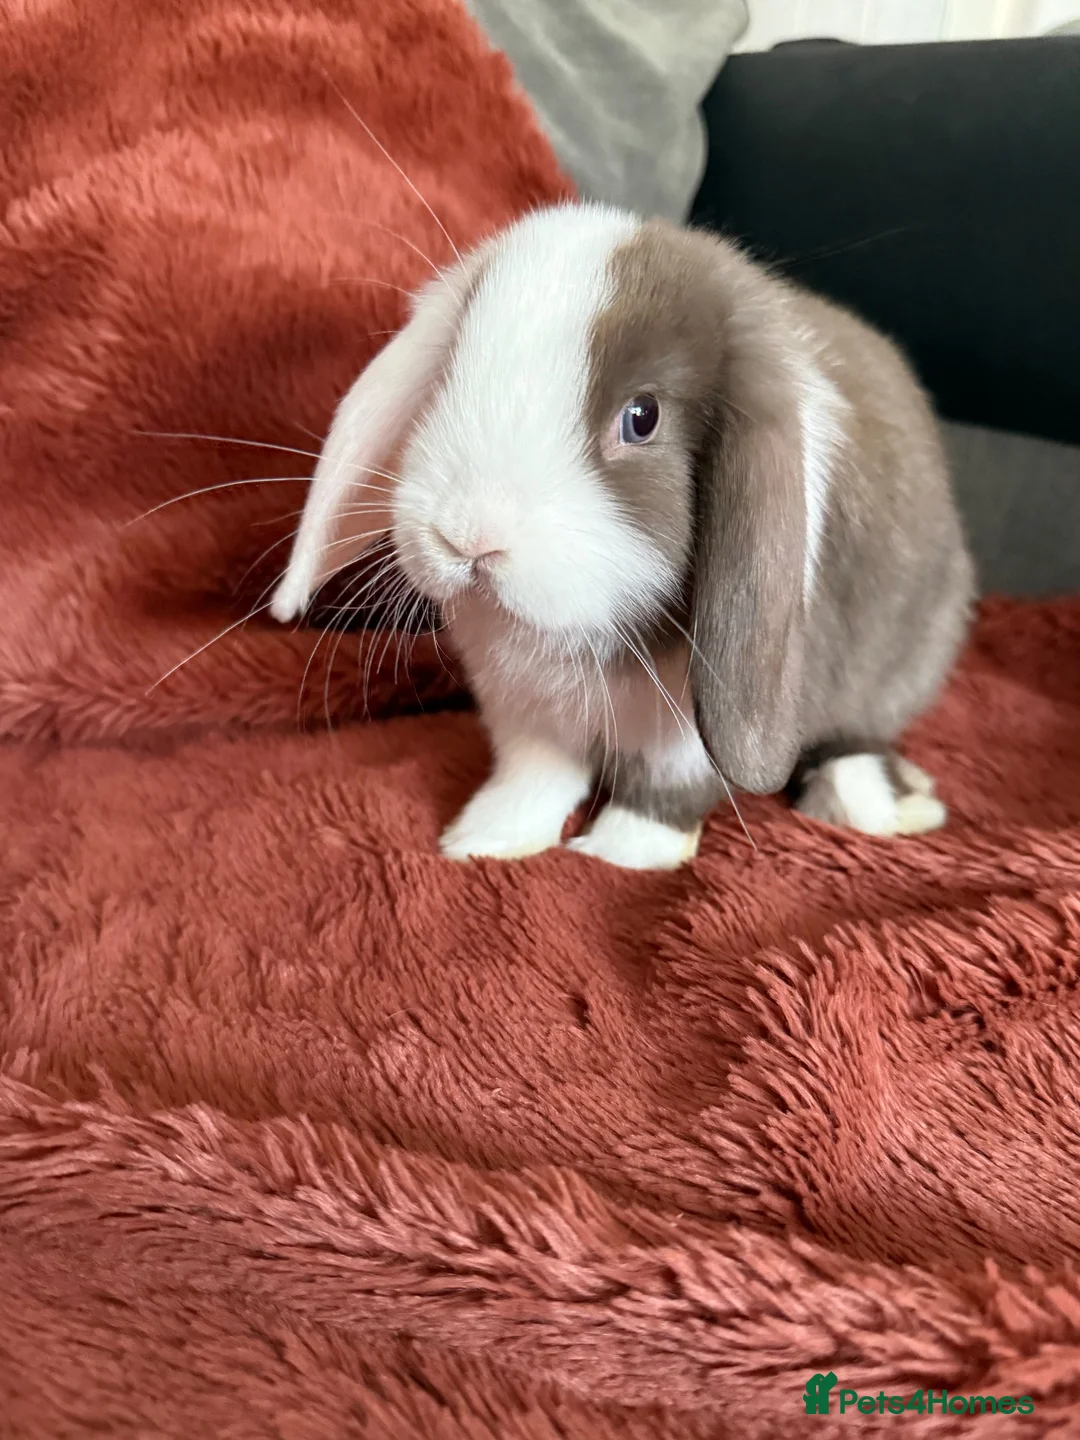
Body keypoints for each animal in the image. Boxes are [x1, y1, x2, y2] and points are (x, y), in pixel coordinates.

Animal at [272, 202, 975, 870]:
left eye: (643, 417)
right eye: (448, 376)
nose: (470, 538)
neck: (572, 639)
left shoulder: (688, 734)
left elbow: (667, 790)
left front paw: (622, 852)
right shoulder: (525, 712)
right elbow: (536, 776)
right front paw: (485, 840)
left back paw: (877, 802)